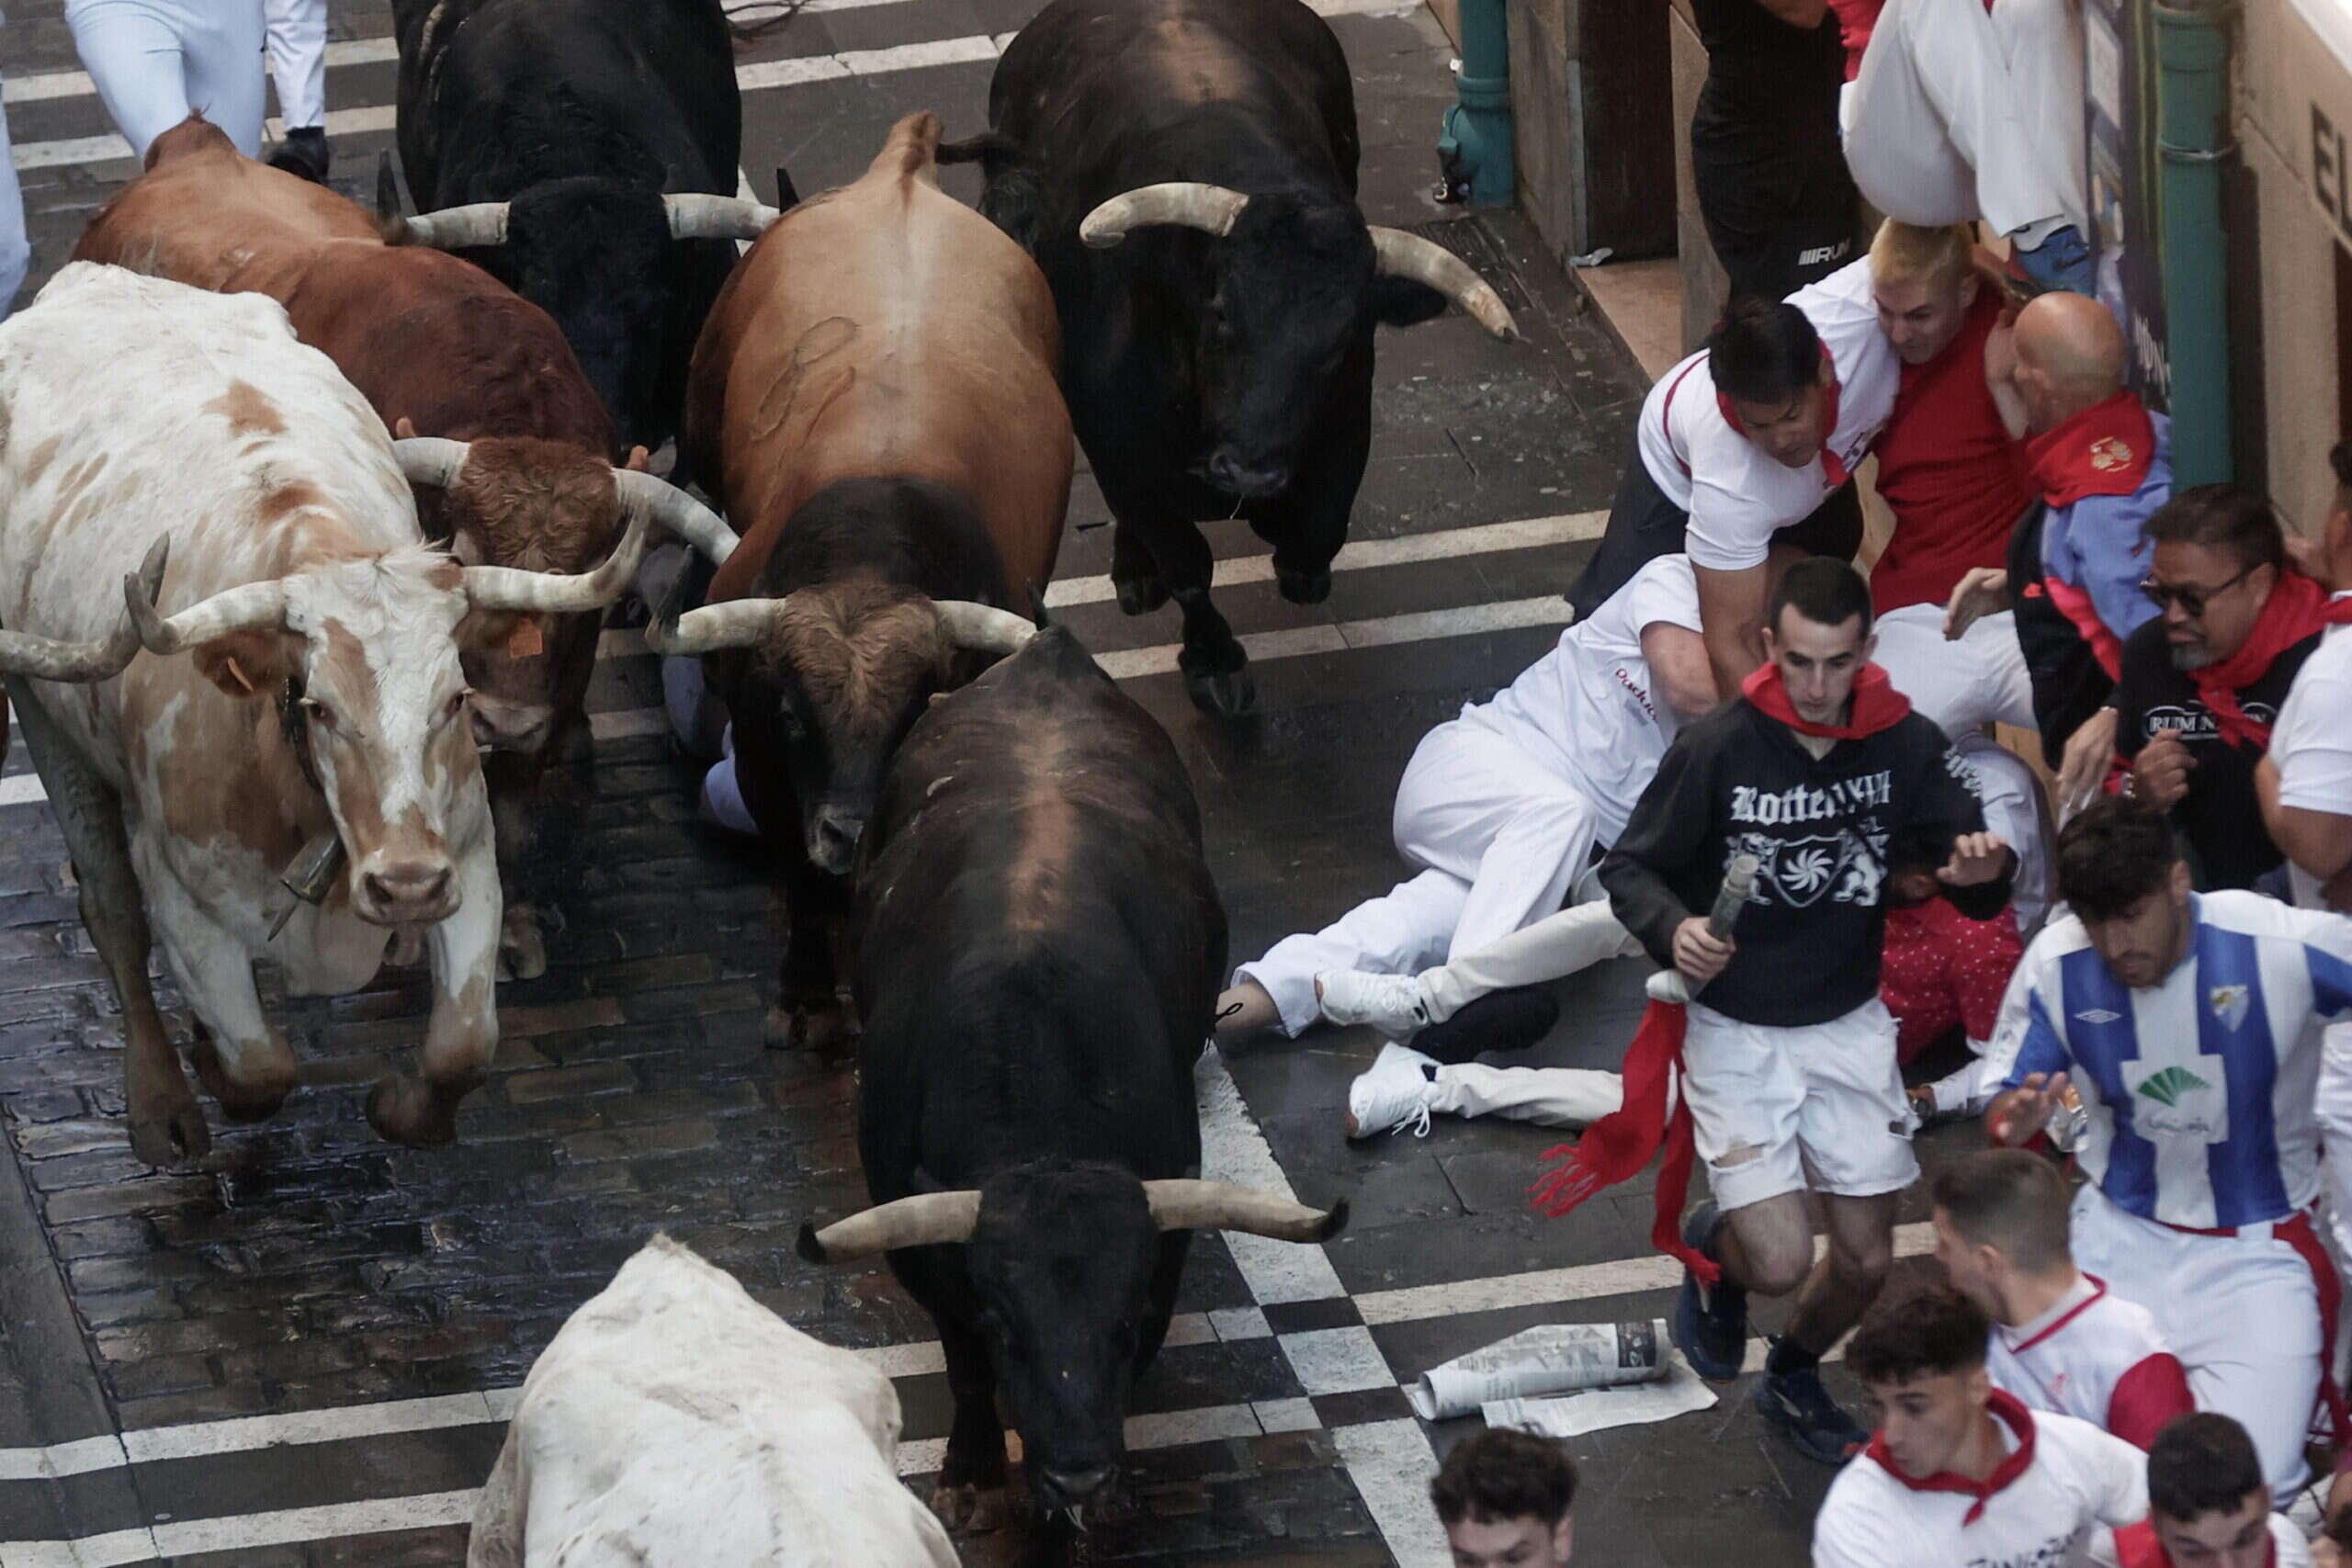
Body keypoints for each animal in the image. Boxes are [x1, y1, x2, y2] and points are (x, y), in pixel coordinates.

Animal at [75, 119, 724, 982]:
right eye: (463, 552)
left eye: (588, 585)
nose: (506, 716)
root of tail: (190, 145)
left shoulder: (546, 709)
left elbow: (512, 804)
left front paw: (518, 924)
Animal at [662, 113, 1068, 1053]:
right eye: (791, 715)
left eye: (912, 710)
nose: (846, 830)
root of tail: (900, 172)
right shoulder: (766, 765)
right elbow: (799, 879)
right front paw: (809, 996)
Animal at [795, 625, 1354, 1532]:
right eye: (1003, 1321)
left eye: (1123, 1320)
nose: (1081, 1479)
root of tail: (1047, 652)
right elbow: (964, 1365)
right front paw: (975, 1473)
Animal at [941, 0, 1523, 719]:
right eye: (1219, 311)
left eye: (1342, 340)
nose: (1249, 469)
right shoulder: (1121, 453)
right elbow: (1187, 565)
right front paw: (1214, 661)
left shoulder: (1344, 428)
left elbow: (1314, 538)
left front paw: (1293, 559)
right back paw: (1134, 573)